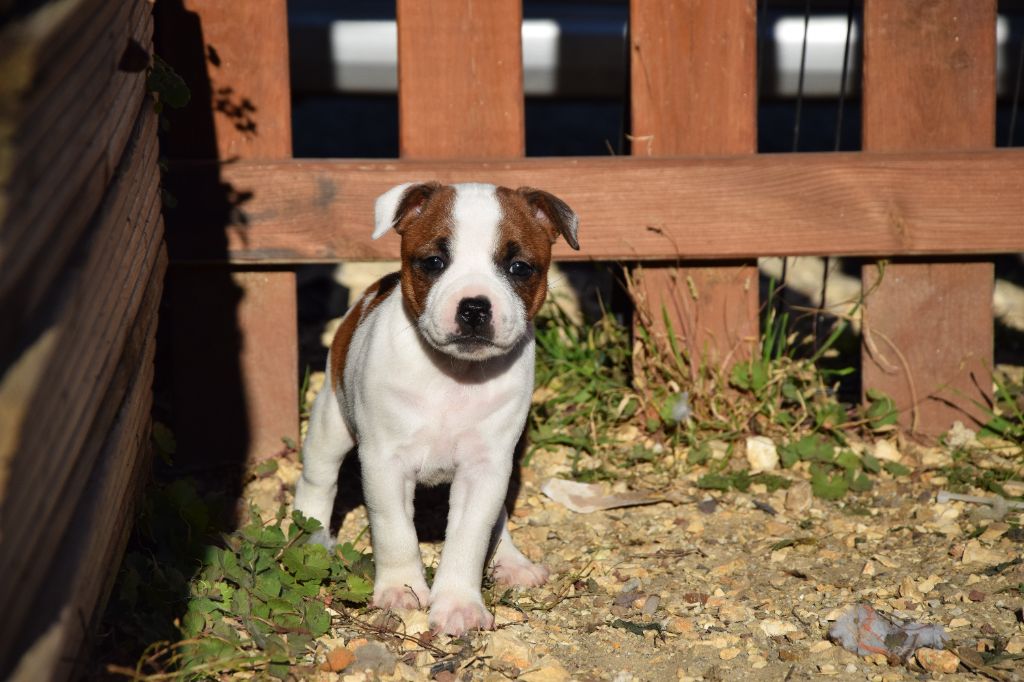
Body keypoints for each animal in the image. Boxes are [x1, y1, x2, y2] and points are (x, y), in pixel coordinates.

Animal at [293, 181, 579, 635]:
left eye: (519, 268)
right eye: (434, 262)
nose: (475, 306)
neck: (455, 374)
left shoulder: (486, 468)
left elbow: (470, 536)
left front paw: (459, 603)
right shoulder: (385, 463)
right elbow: (395, 531)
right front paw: (402, 590)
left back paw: (511, 561)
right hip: (330, 422)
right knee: (318, 479)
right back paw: (313, 539)